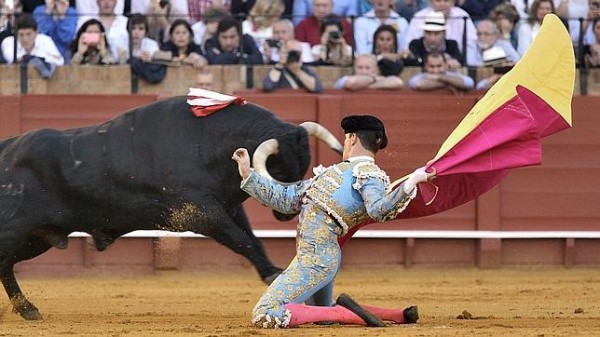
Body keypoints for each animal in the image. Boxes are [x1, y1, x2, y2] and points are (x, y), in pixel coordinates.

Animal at [0, 96, 340, 318]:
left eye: (305, 164)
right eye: (279, 169)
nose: (286, 213)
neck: (211, 142)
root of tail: (7, 149)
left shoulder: (227, 208)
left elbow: (251, 238)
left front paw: (271, 270)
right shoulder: (201, 212)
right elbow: (241, 240)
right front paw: (272, 274)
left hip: (37, 237)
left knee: (6, 264)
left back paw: (27, 309)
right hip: (16, 231)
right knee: (4, 261)